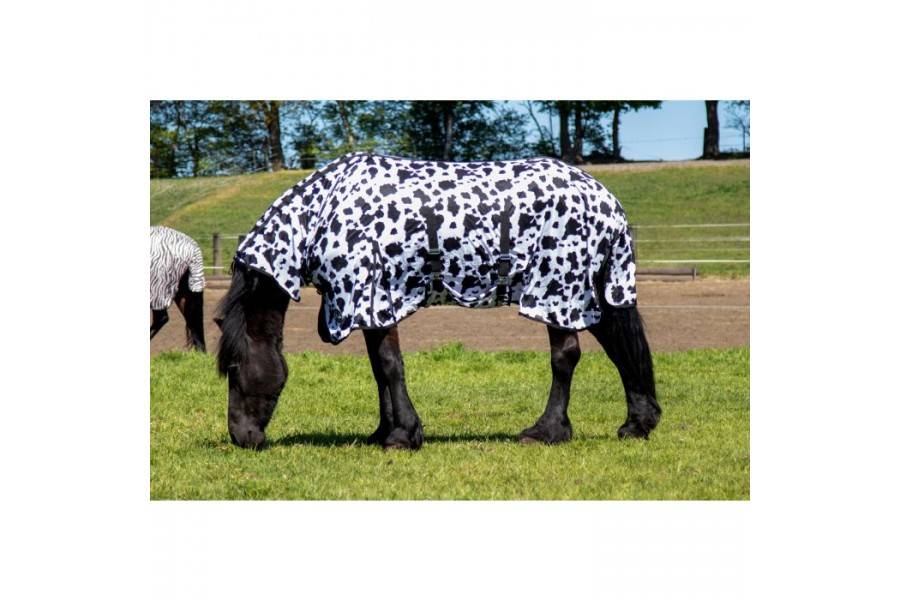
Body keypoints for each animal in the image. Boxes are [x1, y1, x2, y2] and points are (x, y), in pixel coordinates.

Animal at [215, 152, 660, 449]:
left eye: (233, 368)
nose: (242, 437)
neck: (323, 214)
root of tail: (606, 199)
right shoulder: (373, 307)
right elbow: (379, 369)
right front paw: (385, 431)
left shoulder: (375, 296)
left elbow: (390, 366)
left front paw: (402, 435)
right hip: (591, 293)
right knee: (621, 349)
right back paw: (637, 424)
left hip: (555, 291)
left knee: (566, 358)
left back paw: (546, 431)